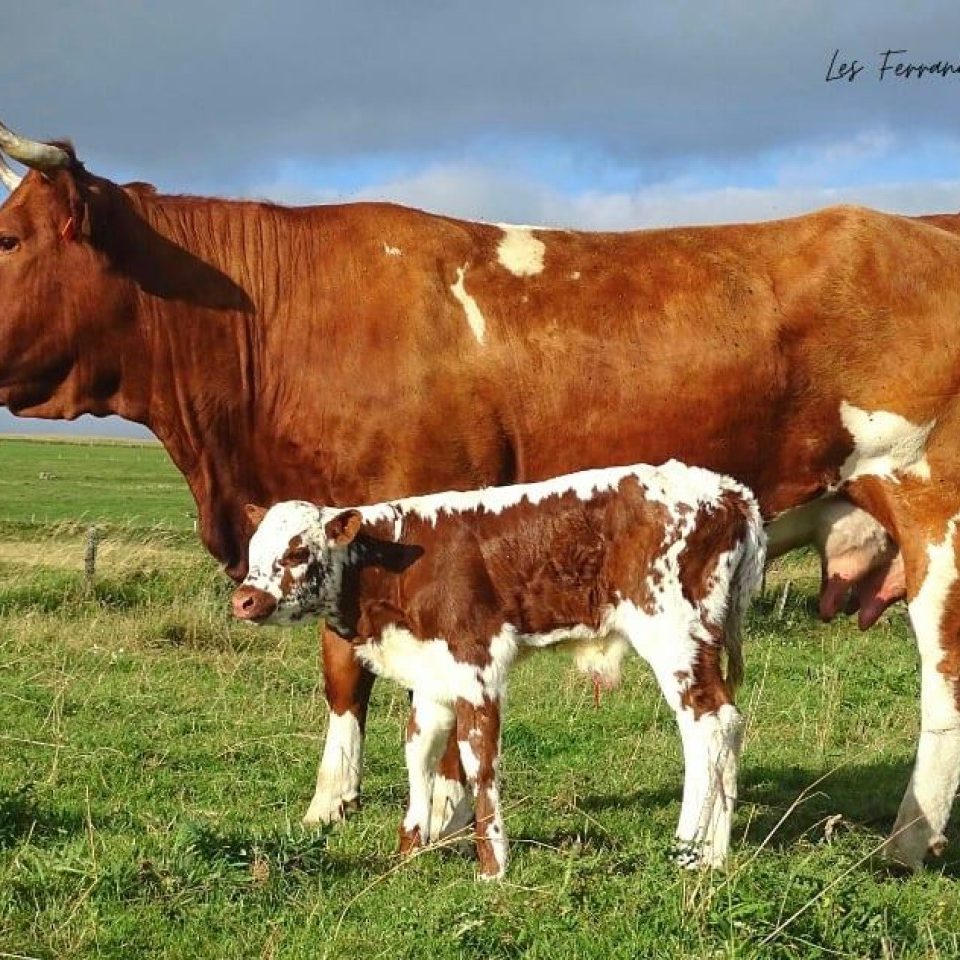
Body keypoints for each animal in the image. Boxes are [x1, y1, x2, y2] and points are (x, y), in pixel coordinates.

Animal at [232, 462, 764, 880]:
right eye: (254, 552)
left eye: (298, 552)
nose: (245, 599)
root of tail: (730, 492)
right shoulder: (432, 673)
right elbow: (419, 752)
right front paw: (409, 850)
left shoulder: (476, 666)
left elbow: (478, 759)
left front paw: (492, 867)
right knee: (730, 722)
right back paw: (714, 855)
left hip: (674, 635)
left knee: (708, 726)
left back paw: (686, 850)